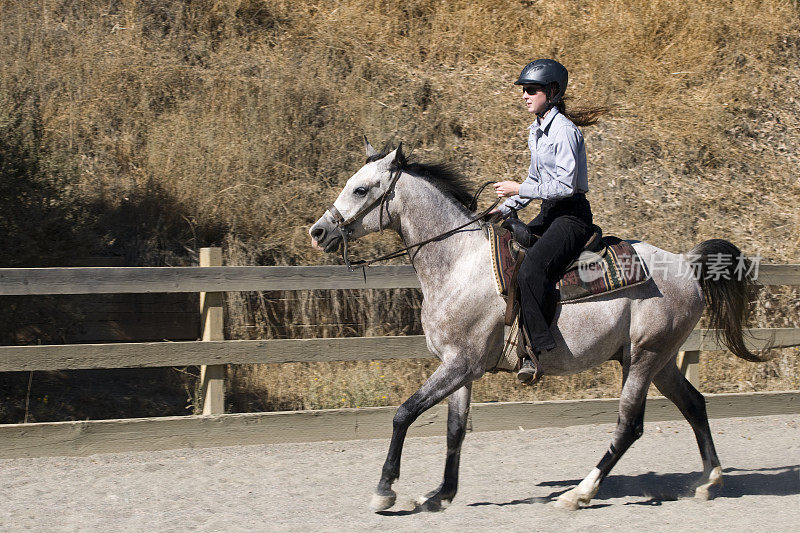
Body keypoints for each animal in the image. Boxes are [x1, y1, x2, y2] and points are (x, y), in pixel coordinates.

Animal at [308, 141, 764, 512]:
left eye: (361, 189)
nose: (318, 231)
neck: (459, 263)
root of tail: (687, 264)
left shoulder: (459, 365)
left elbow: (404, 414)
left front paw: (385, 490)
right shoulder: (460, 368)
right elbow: (455, 430)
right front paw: (441, 495)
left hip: (643, 359)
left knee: (629, 426)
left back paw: (579, 493)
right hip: (660, 361)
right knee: (694, 405)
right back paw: (709, 481)